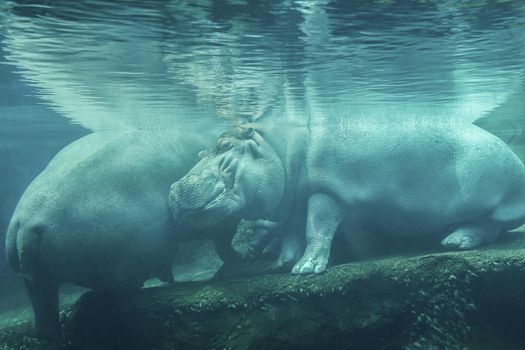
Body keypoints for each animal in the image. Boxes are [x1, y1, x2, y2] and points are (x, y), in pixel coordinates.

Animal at [3, 131, 237, 340]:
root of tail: (28, 224)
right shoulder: (220, 221)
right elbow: (223, 242)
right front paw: (239, 258)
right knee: (118, 295)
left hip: (40, 277)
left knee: (45, 313)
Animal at [170, 119, 524, 274]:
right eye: (200, 152)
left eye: (224, 146)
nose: (172, 190)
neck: (281, 150)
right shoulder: (295, 202)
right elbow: (292, 231)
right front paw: (284, 263)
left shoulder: (325, 194)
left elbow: (316, 229)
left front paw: (306, 268)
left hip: (494, 198)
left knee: (490, 227)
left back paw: (454, 242)